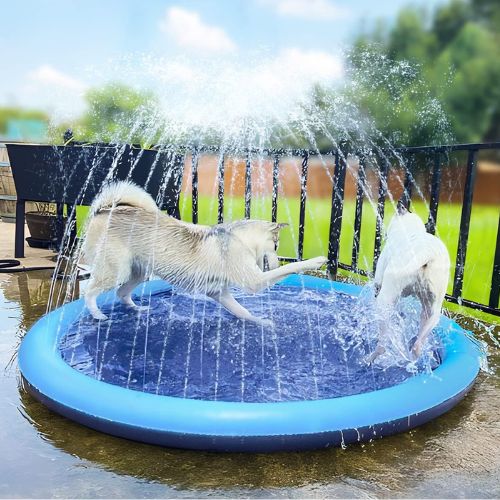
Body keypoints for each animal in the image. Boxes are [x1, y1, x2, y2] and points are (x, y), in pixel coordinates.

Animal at [82, 182, 328, 322]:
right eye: (276, 245)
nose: (276, 261)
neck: (240, 239)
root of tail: (104, 211)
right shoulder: (253, 281)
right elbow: (293, 266)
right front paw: (315, 261)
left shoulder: (219, 293)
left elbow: (242, 311)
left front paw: (263, 324)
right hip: (116, 270)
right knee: (90, 292)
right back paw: (98, 315)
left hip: (138, 271)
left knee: (121, 293)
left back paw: (137, 309)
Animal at [368, 205, 454, 362]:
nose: (401, 205)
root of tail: (428, 252)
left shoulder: (379, 285)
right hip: (432, 312)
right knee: (418, 345)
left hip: (385, 301)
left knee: (383, 345)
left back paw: (369, 358)